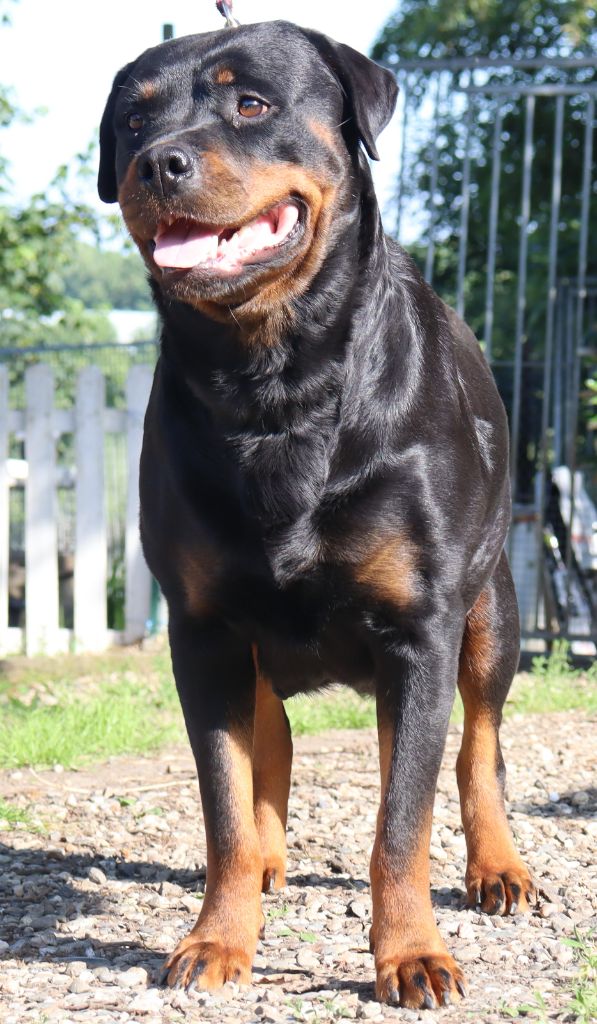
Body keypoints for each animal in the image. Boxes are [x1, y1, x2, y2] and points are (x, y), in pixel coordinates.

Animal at [99, 19, 536, 1011]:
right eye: (132, 119)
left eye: (250, 102)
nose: (156, 162)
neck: (275, 379)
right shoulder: (204, 633)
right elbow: (224, 803)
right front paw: (219, 938)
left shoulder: (419, 628)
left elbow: (403, 817)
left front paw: (411, 953)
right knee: (275, 744)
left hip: (489, 610)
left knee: (474, 745)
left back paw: (496, 867)